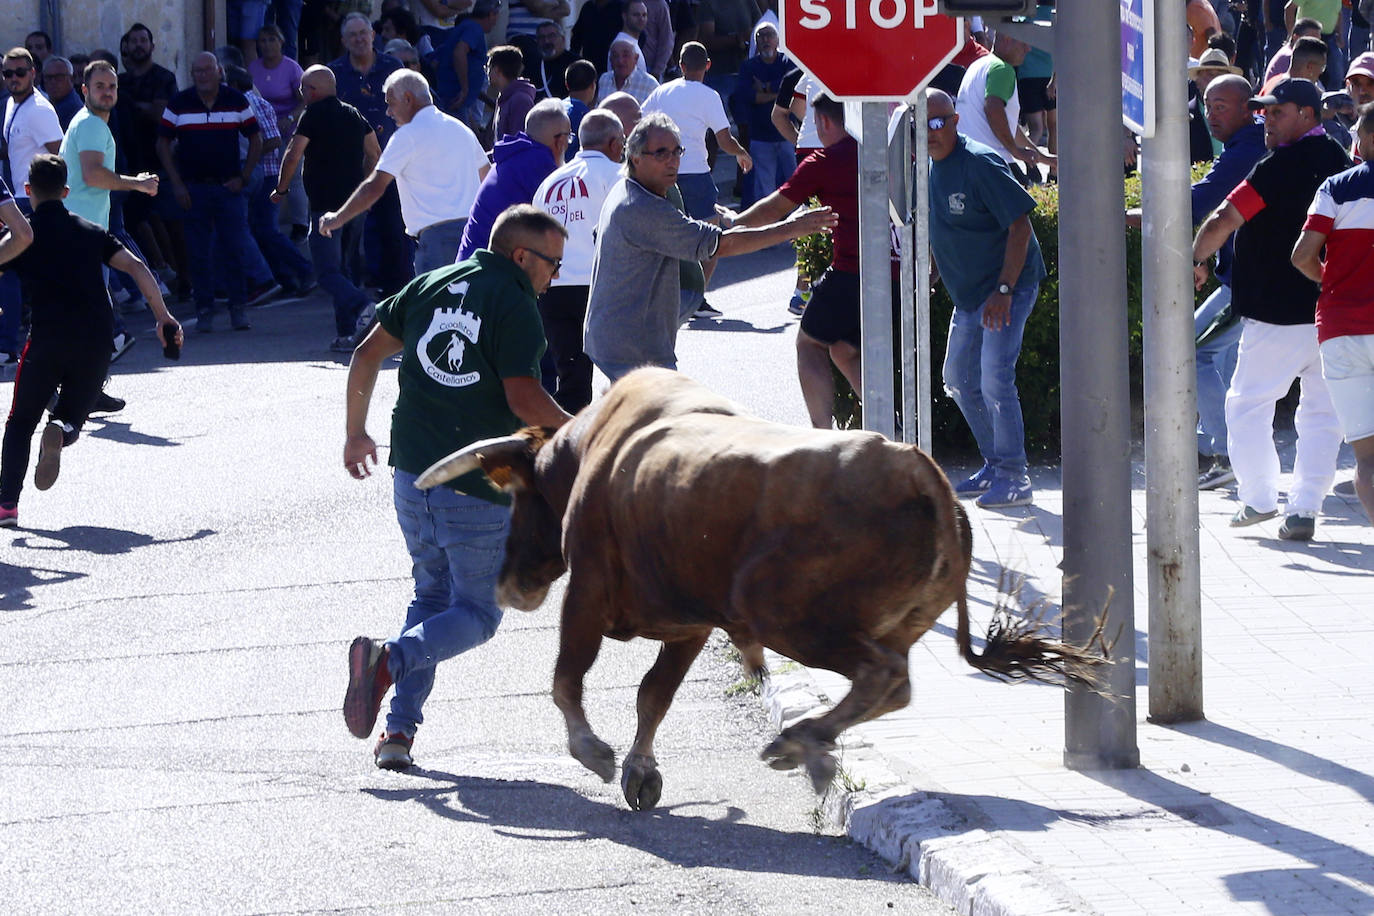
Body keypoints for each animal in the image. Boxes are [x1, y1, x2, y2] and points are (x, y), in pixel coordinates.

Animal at [417, 365, 1104, 807]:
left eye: (518, 498)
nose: (510, 582)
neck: (595, 452)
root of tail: (919, 469)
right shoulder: (691, 622)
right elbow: (652, 696)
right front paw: (641, 772)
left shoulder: (587, 593)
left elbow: (567, 680)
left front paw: (595, 753)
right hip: (884, 621)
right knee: (896, 685)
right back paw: (804, 742)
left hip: (786, 614)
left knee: (882, 674)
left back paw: (804, 743)